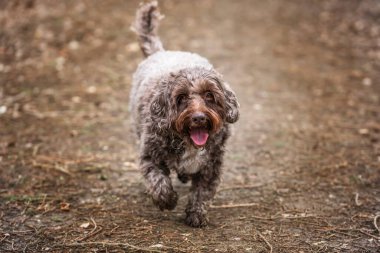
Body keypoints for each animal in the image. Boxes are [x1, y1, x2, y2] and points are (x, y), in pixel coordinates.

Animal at [129, 0, 239, 227]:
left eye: (209, 95)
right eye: (181, 98)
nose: (199, 118)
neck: (188, 142)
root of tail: (161, 52)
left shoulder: (211, 166)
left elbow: (202, 192)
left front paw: (196, 214)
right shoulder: (149, 156)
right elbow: (158, 180)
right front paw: (167, 200)